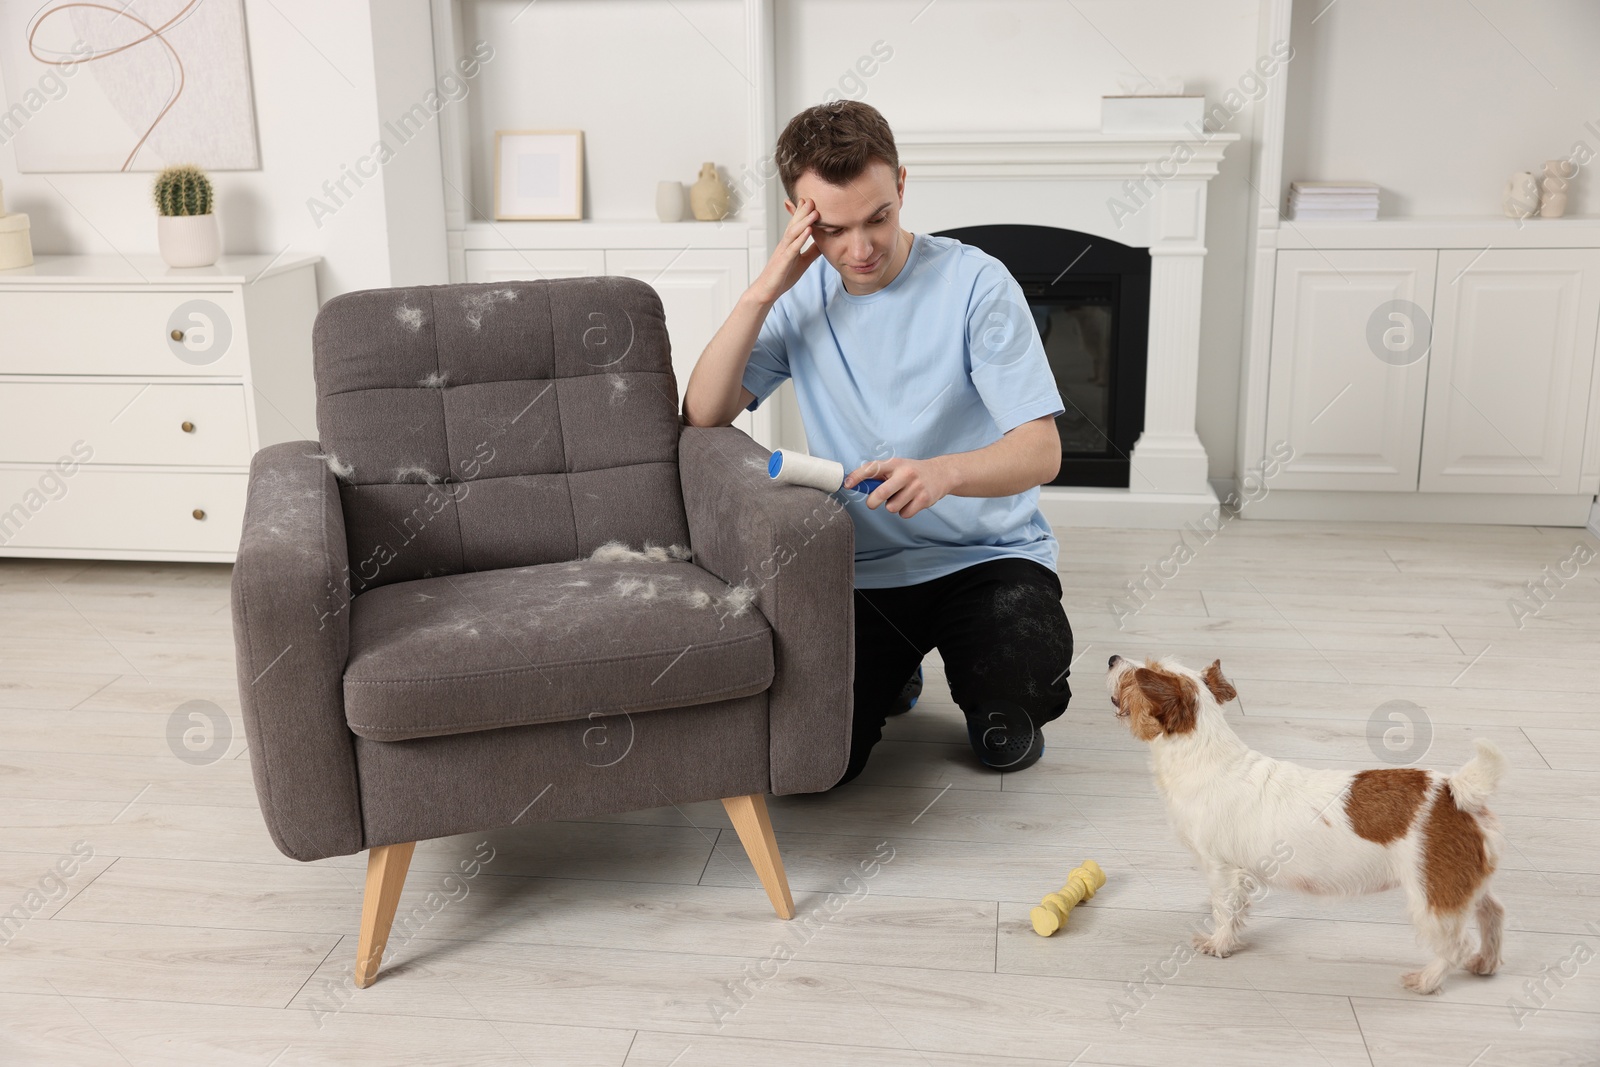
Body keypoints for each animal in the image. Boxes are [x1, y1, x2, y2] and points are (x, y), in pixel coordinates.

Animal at [1107, 655, 1504, 998]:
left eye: (1137, 675)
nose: (1112, 658)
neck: (1205, 753)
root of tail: (1454, 791)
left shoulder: (1221, 866)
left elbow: (1225, 910)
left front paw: (1218, 943)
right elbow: (1232, 905)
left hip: (1432, 895)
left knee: (1456, 945)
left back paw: (1427, 980)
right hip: (1461, 884)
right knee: (1492, 914)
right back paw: (1486, 962)